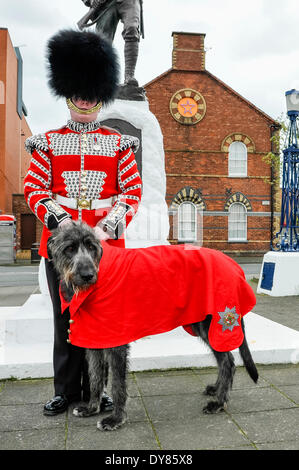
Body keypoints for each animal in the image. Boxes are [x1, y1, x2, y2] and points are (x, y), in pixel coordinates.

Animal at [48, 220, 258, 430]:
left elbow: (117, 384)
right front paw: (92, 408)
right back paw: (216, 390)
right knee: (225, 360)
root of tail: (233, 265)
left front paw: (116, 418)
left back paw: (219, 403)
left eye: (91, 247)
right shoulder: (95, 341)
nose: (88, 275)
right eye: (69, 248)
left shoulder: (117, 344)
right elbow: (95, 377)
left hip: (214, 323)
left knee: (228, 362)